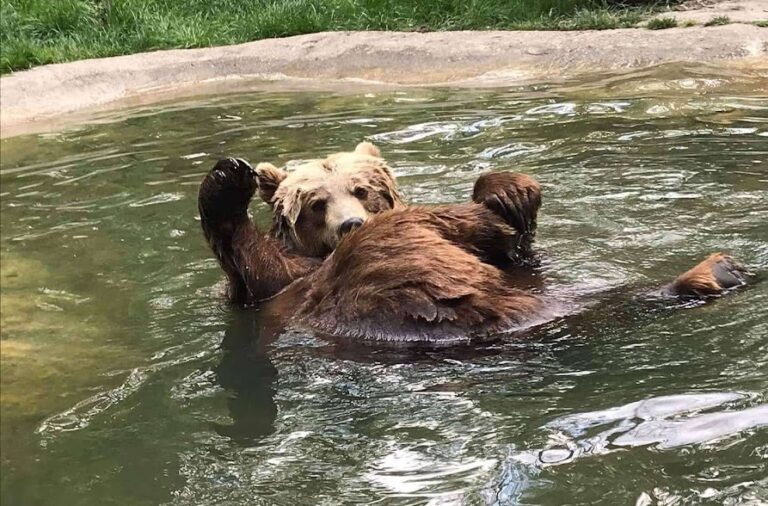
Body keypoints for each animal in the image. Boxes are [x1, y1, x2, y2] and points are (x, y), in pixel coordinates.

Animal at [197, 142, 749, 345]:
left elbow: (521, 254)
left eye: (362, 190)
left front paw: (511, 192)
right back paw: (712, 272)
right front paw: (227, 178)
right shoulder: (277, 288)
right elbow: (258, 267)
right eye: (314, 203)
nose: (350, 224)